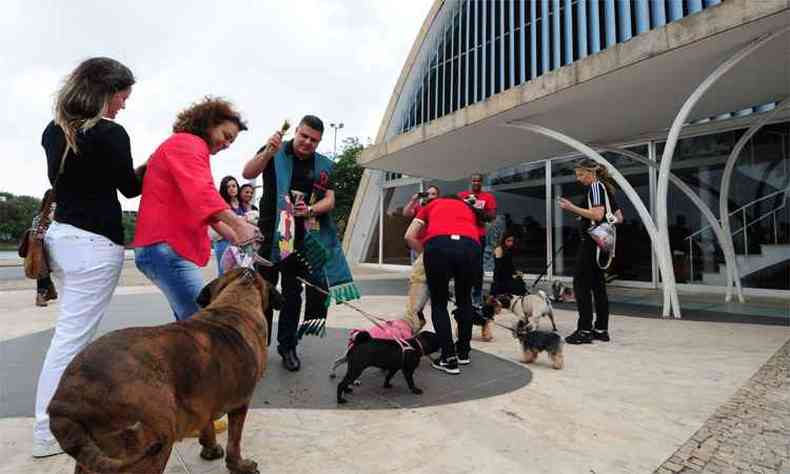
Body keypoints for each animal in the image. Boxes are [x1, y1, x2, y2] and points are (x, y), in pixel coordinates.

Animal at [46, 268, 282, 472]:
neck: (235, 302)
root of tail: (62, 404)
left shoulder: (204, 397)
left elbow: (207, 424)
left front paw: (209, 447)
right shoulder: (240, 404)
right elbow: (235, 441)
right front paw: (239, 465)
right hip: (153, 443)